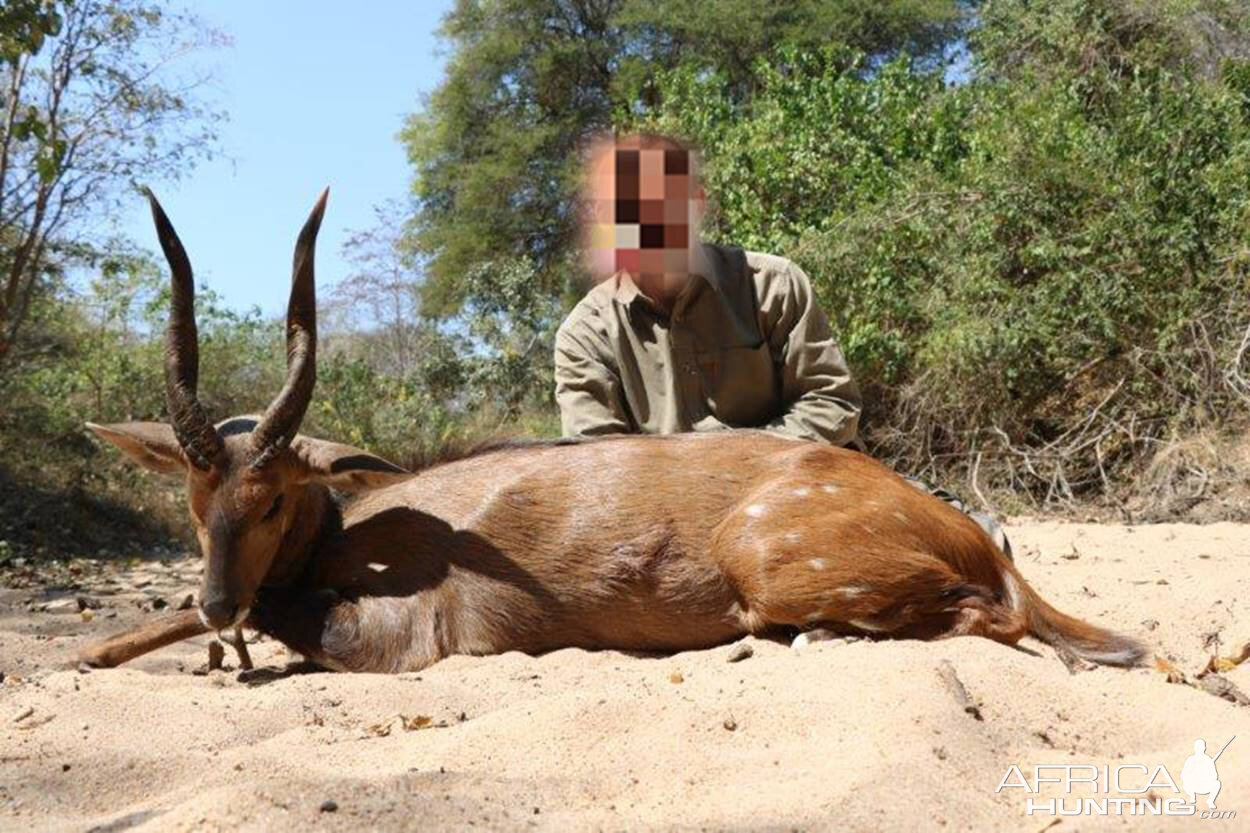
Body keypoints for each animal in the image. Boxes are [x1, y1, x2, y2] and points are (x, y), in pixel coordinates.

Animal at [80, 191, 1150, 670]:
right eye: (194, 501)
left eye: (271, 501)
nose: (218, 596)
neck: (364, 530)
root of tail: (974, 533)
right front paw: (100, 652)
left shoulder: (412, 635)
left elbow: (297, 623)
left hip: (772, 561)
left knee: (991, 617)